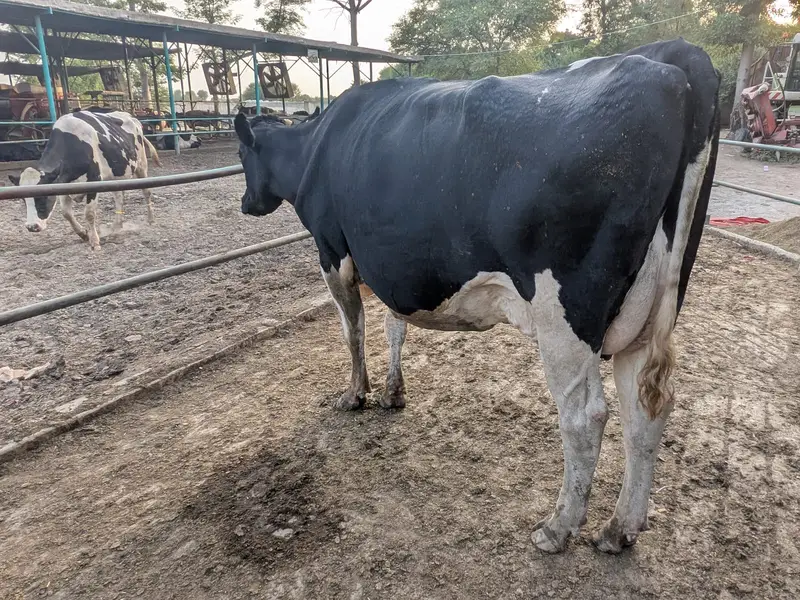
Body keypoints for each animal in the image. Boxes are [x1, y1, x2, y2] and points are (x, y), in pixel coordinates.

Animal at [9, 110, 161, 250]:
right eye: (23, 199)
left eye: (43, 196)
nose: (31, 226)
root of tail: (130, 116)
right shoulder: (63, 183)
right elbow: (66, 213)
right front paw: (83, 234)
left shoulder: (94, 180)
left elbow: (89, 213)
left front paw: (94, 241)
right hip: (116, 175)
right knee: (119, 197)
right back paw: (117, 225)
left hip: (141, 165)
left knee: (146, 192)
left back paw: (151, 219)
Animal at [233, 39, 720, 554]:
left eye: (242, 155)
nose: (246, 202)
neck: (314, 147)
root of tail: (673, 59)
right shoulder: (392, 266)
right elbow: (393, 327)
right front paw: (393, 392)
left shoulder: (332, 254)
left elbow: (354, 332)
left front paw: (354, 394)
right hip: (650, 310)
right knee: (645, 411)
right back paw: (619, 529)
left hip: (565, 313)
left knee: (585, 417)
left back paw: (558, 527)